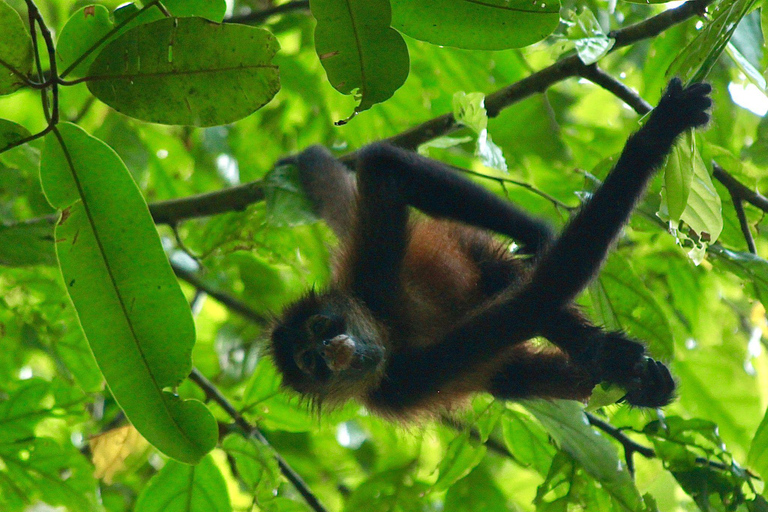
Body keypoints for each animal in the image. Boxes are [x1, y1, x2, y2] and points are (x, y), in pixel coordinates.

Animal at [272, 78, 712, 418]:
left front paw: (657, 133)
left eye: (321, 327)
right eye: (312, 364)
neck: (386, 330)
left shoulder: (371, 269)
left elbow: (382, 163)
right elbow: (529, 309)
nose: (331, 350)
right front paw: (628, 376)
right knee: (515, 368)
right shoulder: (403, 382)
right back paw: (609, 359)